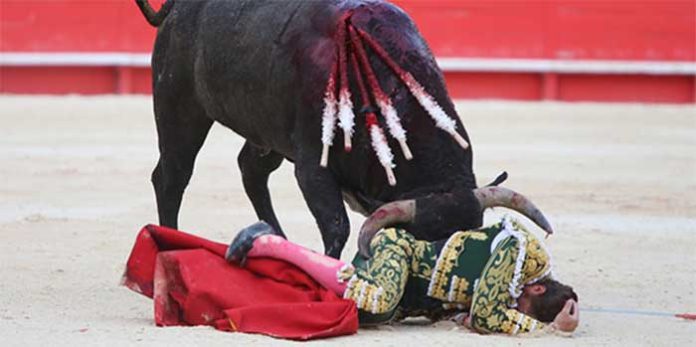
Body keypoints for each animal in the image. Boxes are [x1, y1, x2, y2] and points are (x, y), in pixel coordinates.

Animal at [133, 0, 552, 260]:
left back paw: (278, 240)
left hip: (269, 135)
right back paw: (170, 244)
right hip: (180, 108)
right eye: (419, 239)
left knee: (250, 169)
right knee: (171, 176)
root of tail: (178, 8)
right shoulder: (312, 168)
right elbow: (337, 226)